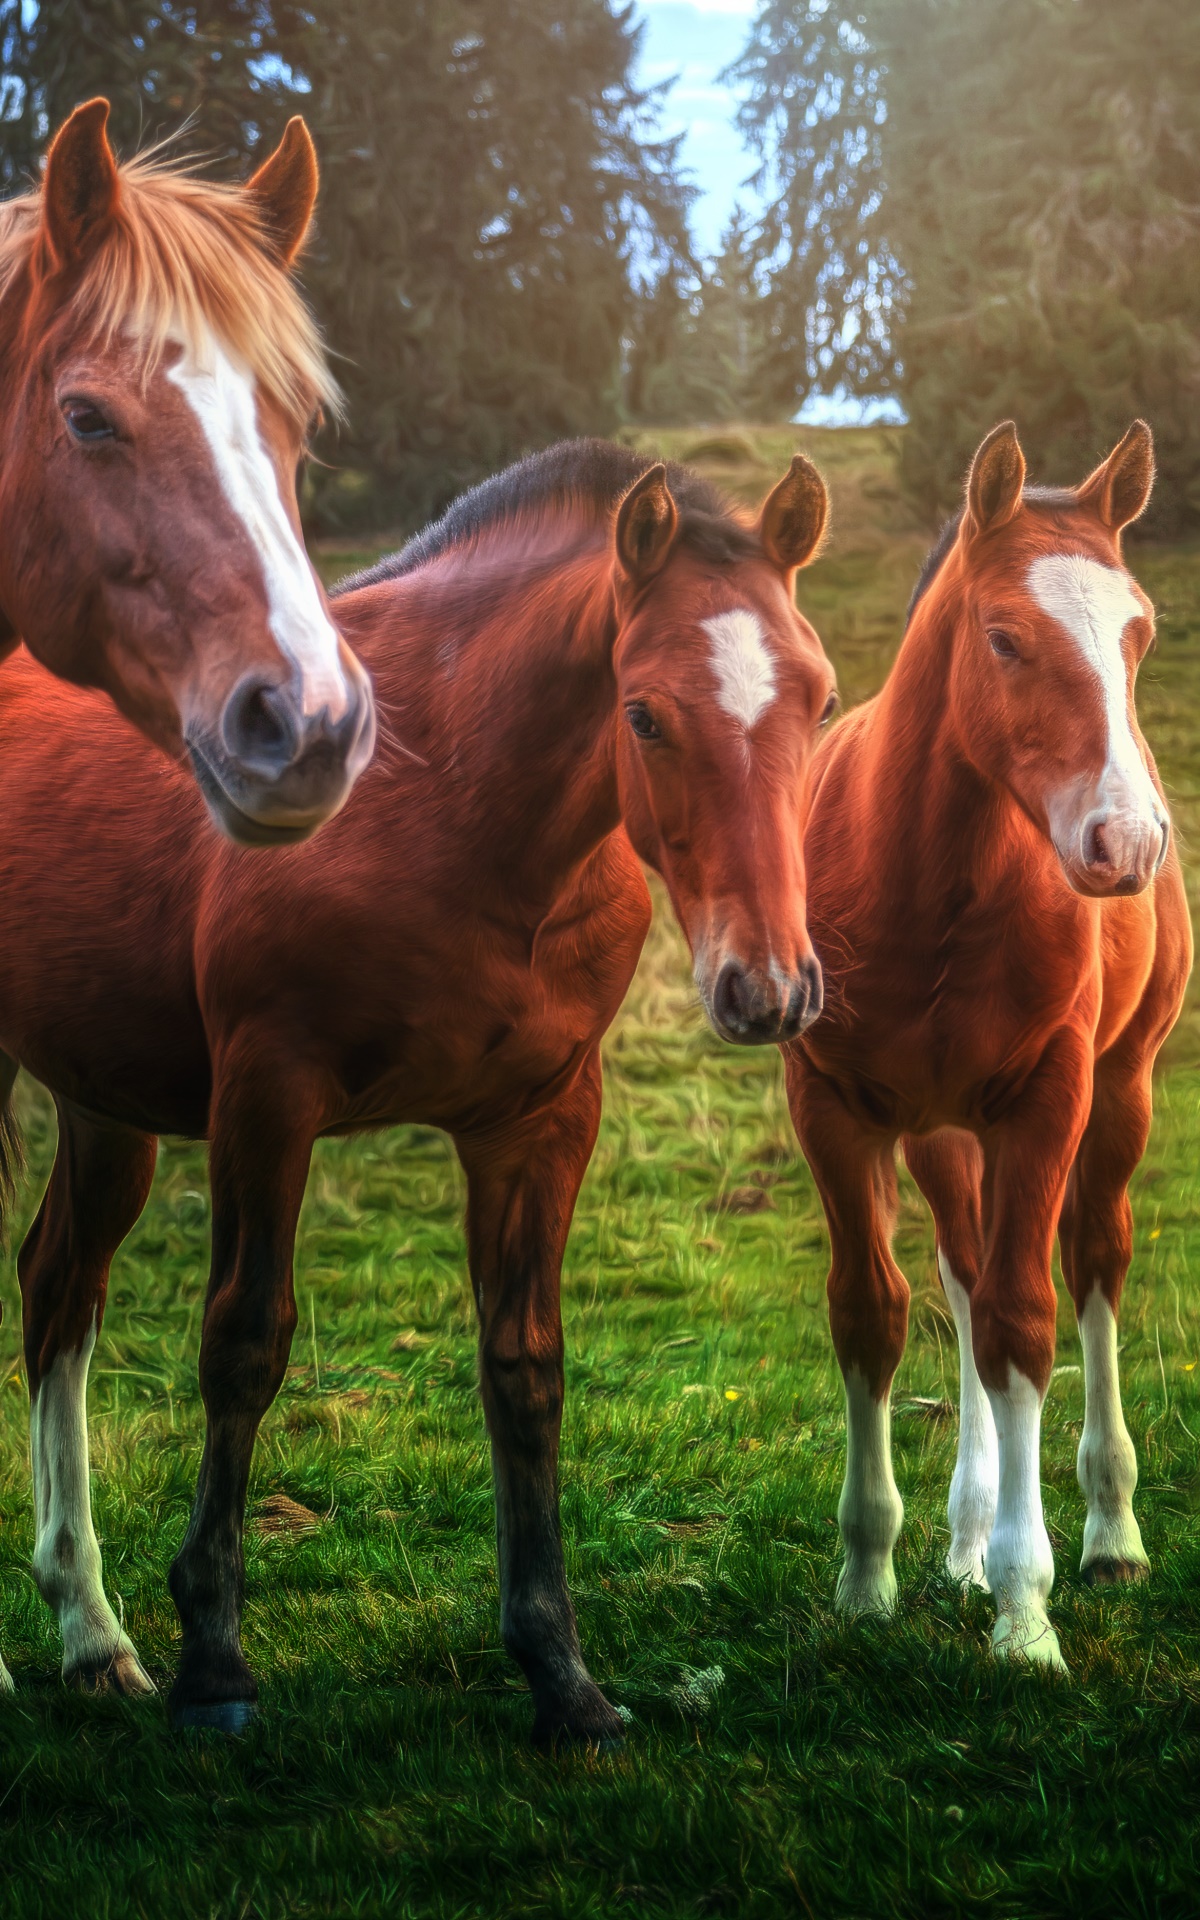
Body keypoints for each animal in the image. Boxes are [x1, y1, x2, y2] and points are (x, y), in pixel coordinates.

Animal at [0, 438, 836, 1740]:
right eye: (644, 714)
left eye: (824, 699)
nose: (770, 987)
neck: (446, 799)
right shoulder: (267, 1096)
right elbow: (244, 1341)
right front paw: (215, 1661)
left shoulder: (538, 1120)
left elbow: (525, 1367)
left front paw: (561, 1672)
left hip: (102, 1100)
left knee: (58, 1290)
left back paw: (90, 1634)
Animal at [785, 419, 1190, 1669]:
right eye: (1006, 637)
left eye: (1140, 630)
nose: (1127, 843)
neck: (925, 881)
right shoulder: (834, 1106)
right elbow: (874, 1314)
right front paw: (866, 1579)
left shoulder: (1045, 1100)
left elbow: (1027, 1320)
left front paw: (1026, 1613)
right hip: (938, 1133)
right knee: (962, 1279)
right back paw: (960, 1543)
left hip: (1120, 1091)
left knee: (1090, 1265)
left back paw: (1108, 1532)